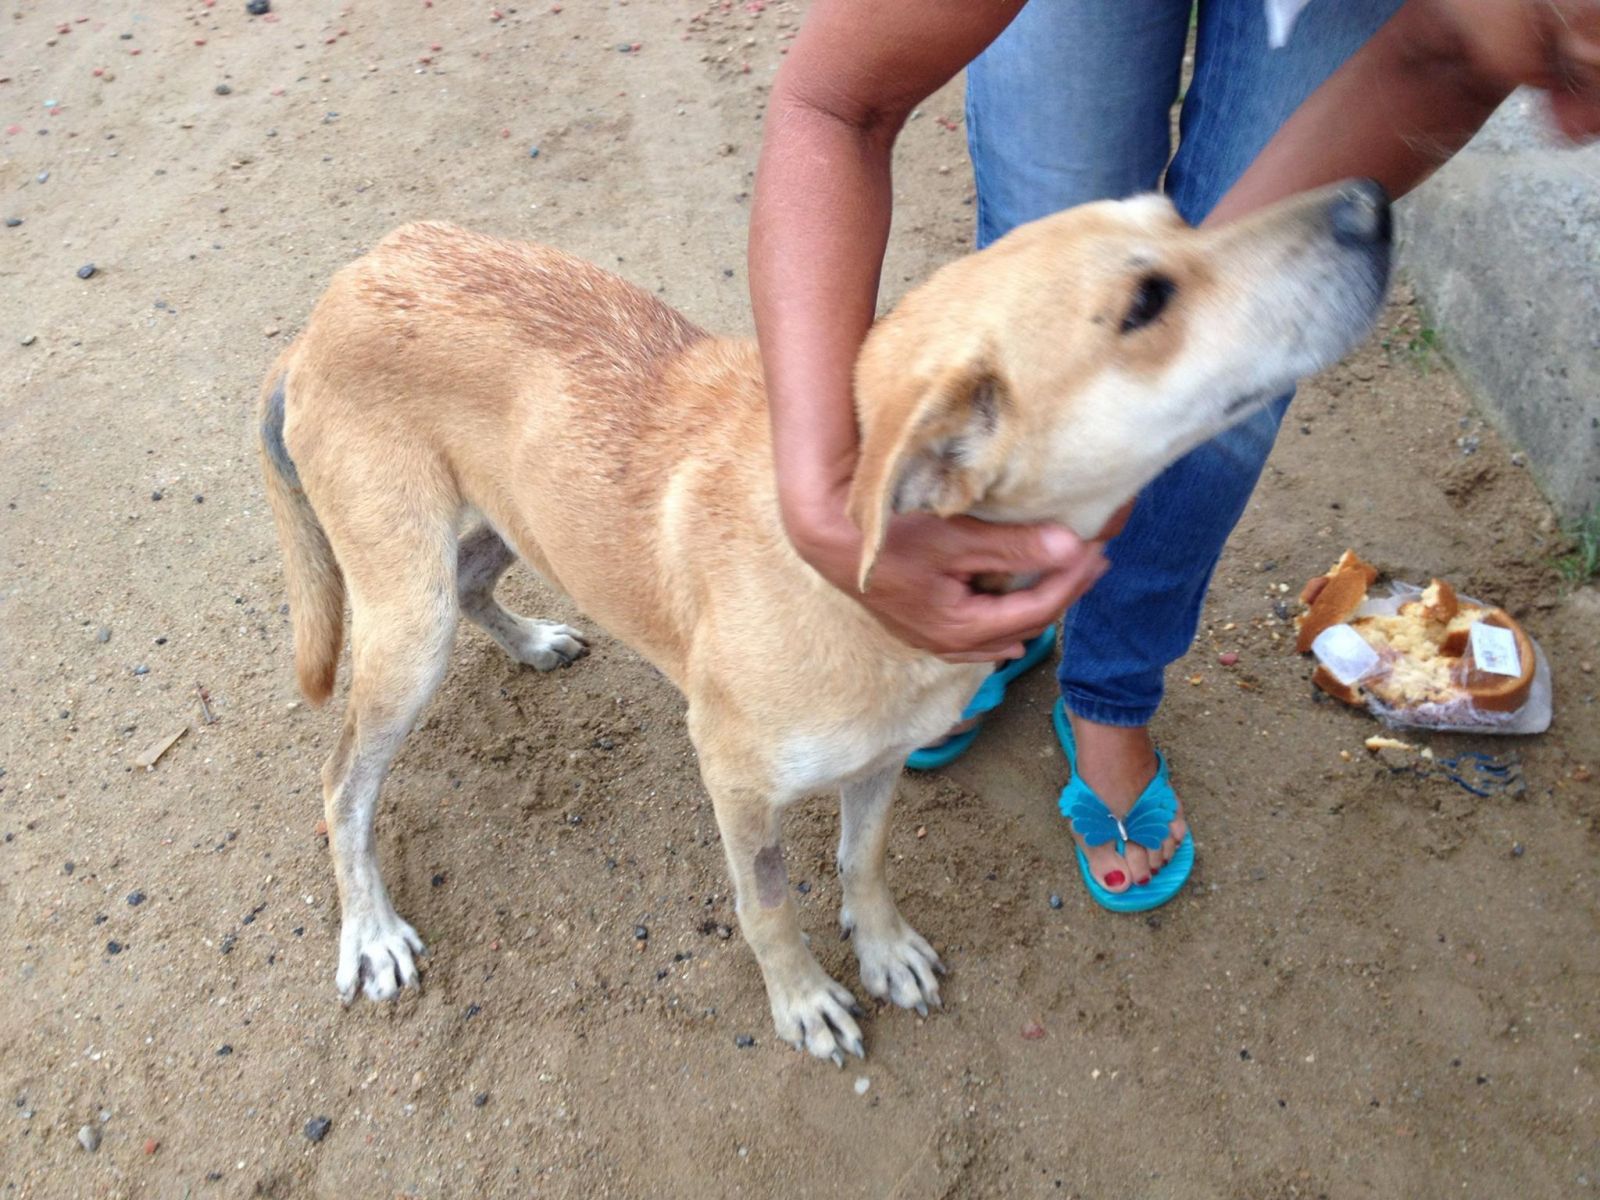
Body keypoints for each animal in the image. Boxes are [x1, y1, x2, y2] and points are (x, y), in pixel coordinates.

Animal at [259, 178, 1388, 1062]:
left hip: (503, 527)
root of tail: (329, 302)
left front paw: (881, 949)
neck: (855, 589)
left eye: (1178, 215)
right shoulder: (733, 778)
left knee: (476, 584)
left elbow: (863, 858)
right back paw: (370, 930)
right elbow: (767, 906)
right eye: (1145, 302)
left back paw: (534, 640)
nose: (1371, 203)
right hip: (406, 629)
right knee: (339, 784)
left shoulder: (882, 758)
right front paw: (803, 1002)